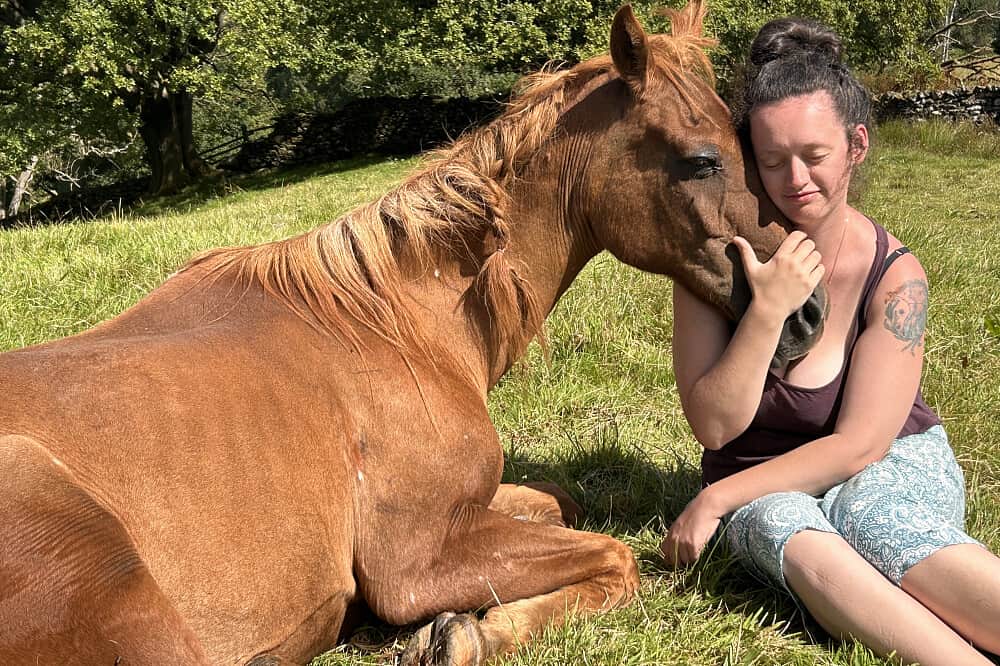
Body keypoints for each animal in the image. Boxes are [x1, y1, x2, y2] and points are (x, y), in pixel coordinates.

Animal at [0, 3, 825, 665]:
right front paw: (465, 633)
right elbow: (616, 559)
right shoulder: (416, 561)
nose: (808, 315)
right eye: (702, 159)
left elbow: (561, 500)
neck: (399, 325)